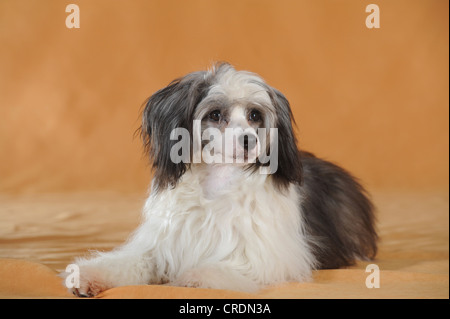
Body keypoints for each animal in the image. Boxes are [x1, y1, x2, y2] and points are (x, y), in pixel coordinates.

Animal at [66, 62, 376, 298]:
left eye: (255, 115)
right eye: (215, 114)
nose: (249, 140)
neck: (217, 185)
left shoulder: (268, 257)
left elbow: (224, 266)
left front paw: (195, 278)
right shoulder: (162, 244)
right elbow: (130, 261)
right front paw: (89, 273)